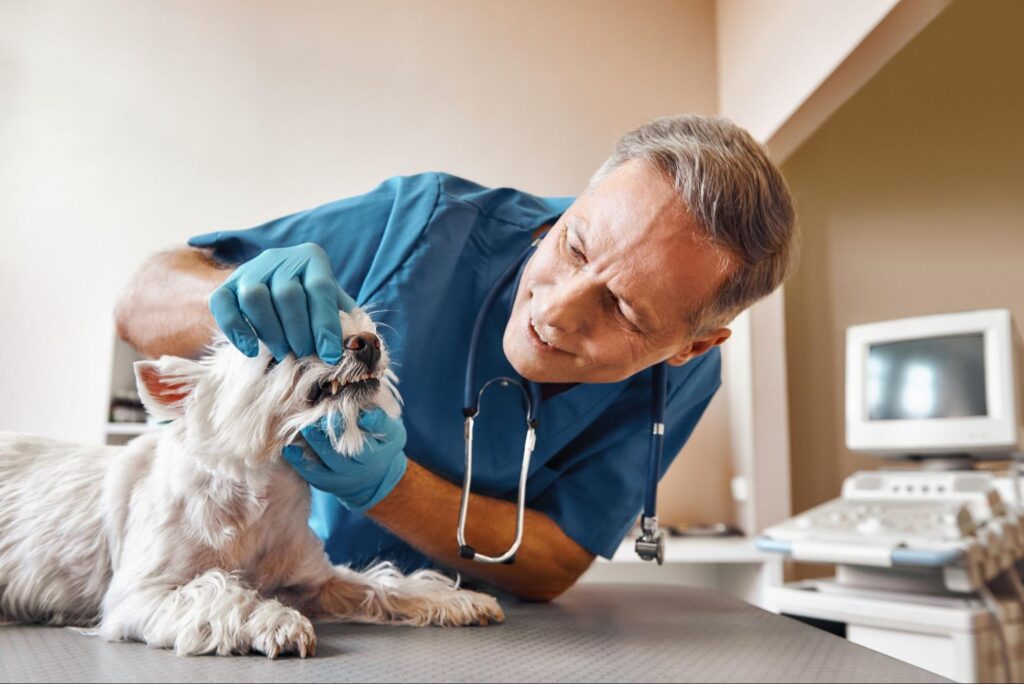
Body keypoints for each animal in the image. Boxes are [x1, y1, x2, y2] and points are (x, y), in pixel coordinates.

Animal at [0, 307, 503, 655]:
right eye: (276, 355)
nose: (368, 341)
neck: (263, 500)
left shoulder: (314, 580)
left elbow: (381, 584)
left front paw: (457, 600)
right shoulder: (140, 595)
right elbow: (221, 593)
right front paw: (278, 622)